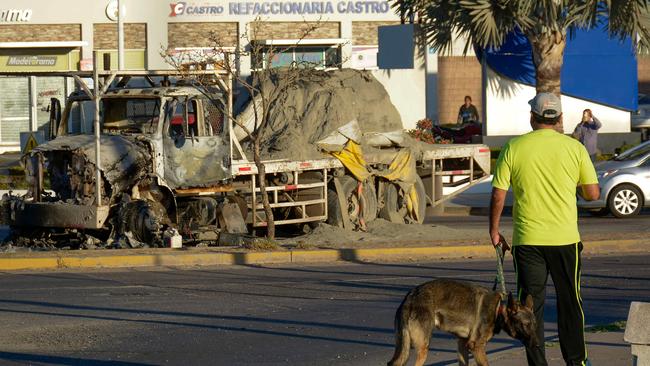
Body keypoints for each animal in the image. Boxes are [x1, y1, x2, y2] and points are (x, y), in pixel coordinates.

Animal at [388, 278, 536, 364]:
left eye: (535, 325)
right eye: (525, 324)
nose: (537, 345)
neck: (498, 309)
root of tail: (410, 297)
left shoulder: (462, 345)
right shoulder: (477, 347)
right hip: (423, 348)